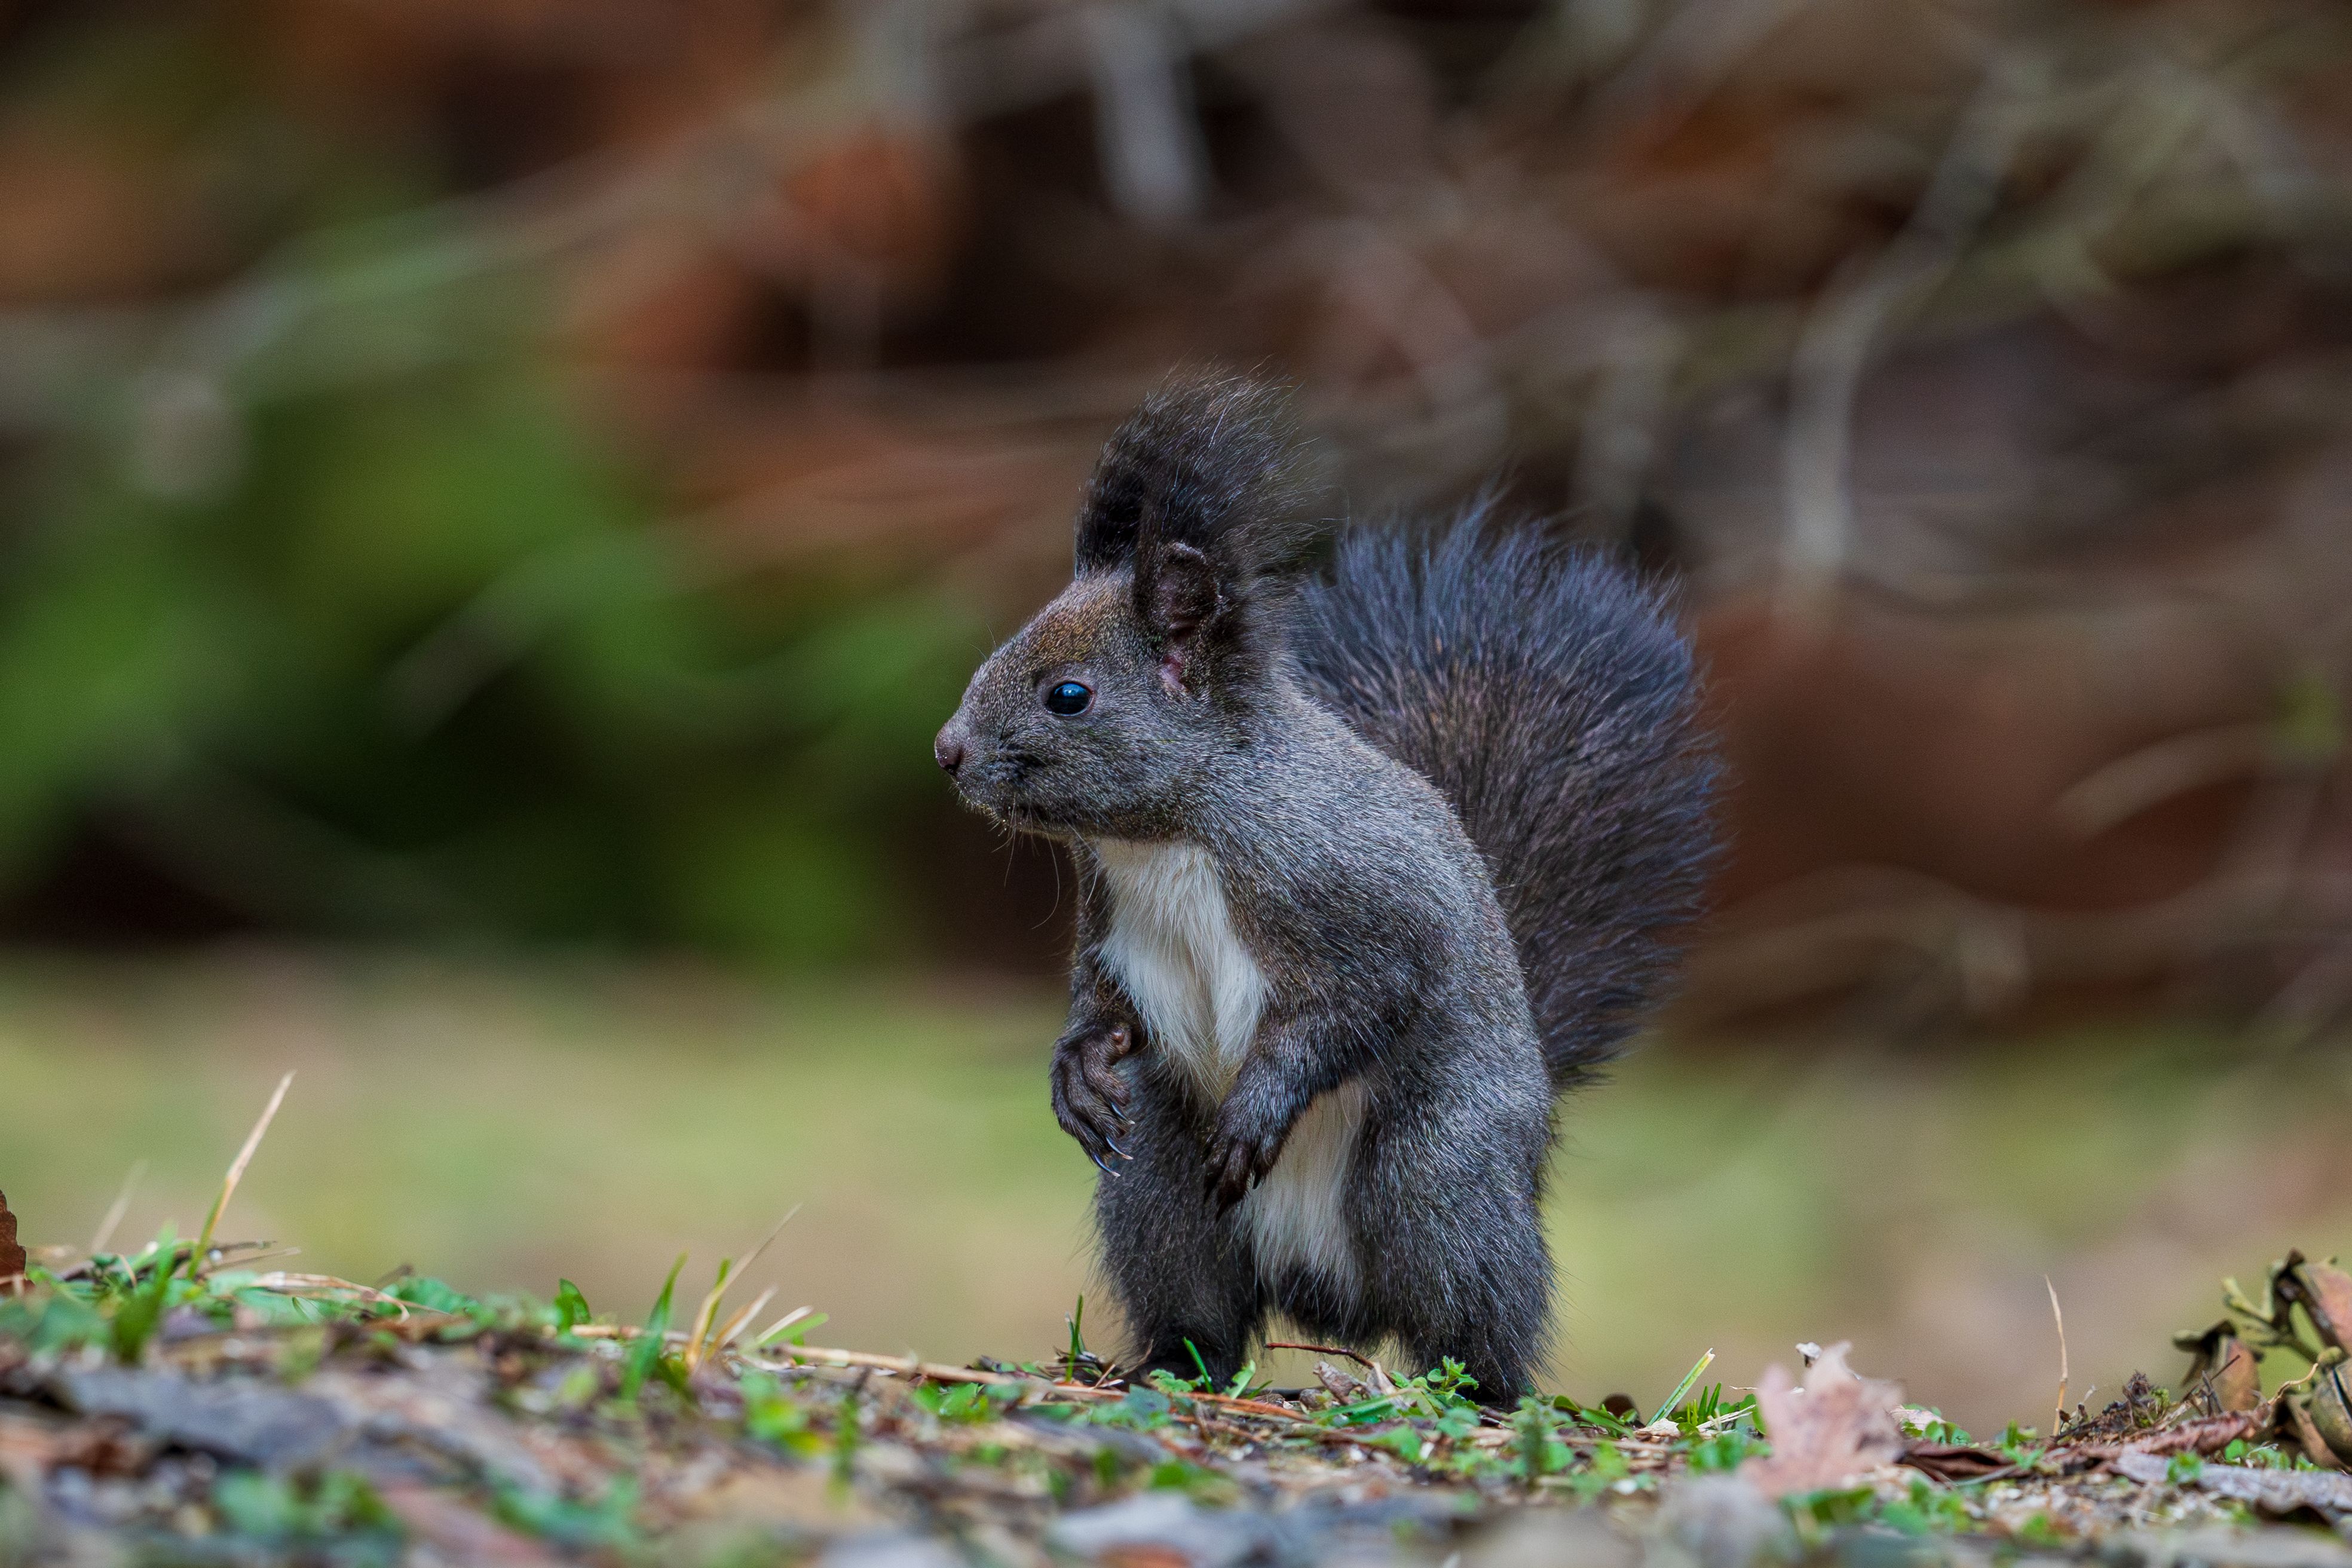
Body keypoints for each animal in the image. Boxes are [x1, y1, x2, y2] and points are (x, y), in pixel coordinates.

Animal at [932, 375, 1715, 1402]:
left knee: (1474, 1310)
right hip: (1160, 1184)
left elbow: (1355, 1005)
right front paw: (1076, 1072)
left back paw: (1482, 1388)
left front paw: (1259, 1105)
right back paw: (1165, 1361)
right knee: (1201, 1300)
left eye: (1070, 695)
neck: (1169, 836)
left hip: (1436, 1174)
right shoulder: (1111, 923)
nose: (947, 752)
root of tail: (1328, 1294)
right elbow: (1101, 1003)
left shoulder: (1350, 897)